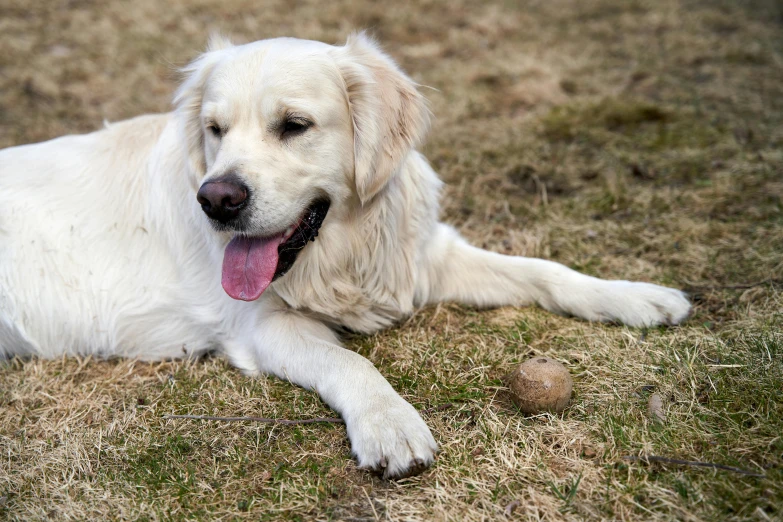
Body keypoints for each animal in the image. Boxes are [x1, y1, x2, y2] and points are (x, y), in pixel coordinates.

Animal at [0, 34, 688, 478]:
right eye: (215, 131)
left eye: (294, 125)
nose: (216, 199)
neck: (341, 251)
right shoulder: (263, 325)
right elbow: (349, 364)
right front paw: (390, 424)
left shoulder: (422, 257)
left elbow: (544, 270)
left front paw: (635, 295)